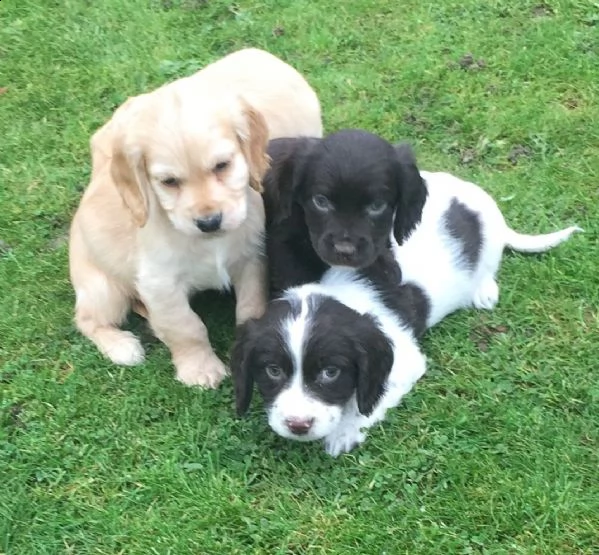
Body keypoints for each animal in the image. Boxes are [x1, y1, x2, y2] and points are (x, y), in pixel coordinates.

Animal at [69, 46, 324, 386]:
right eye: (168, 182)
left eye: (222, 166)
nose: (209, 222)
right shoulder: (161, 283)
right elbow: (186, 327)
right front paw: (200, 369)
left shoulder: (251, 259)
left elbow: (250, 306)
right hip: (102, 287)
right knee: (88, 318)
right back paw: (121, 345)